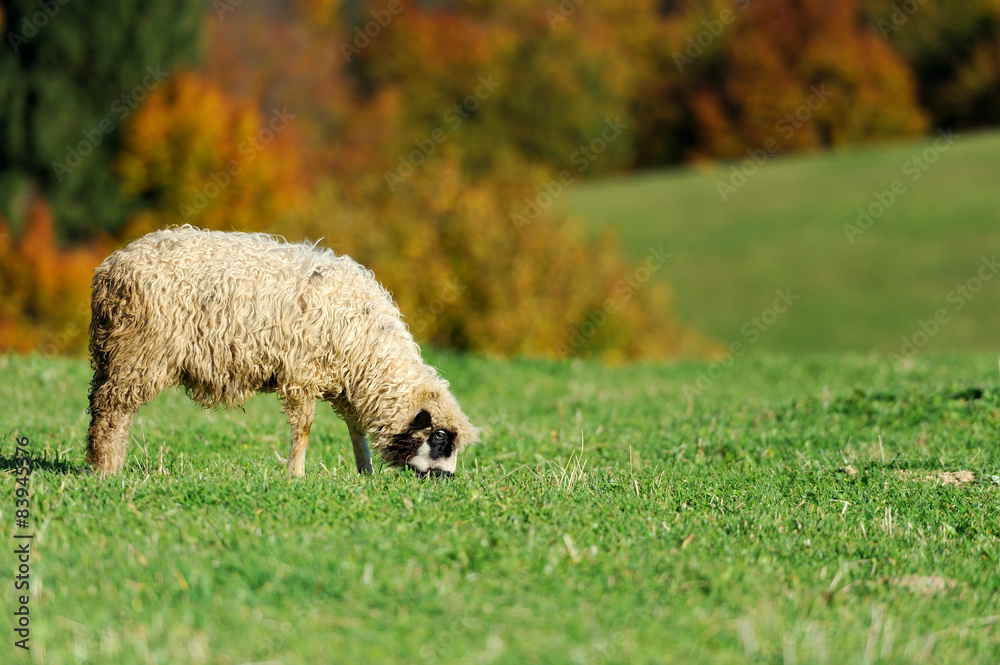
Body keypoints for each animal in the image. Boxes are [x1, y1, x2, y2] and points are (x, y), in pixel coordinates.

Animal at [83, 227, 480, 478]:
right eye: (440, 438)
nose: (447, 479)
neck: (370, 349)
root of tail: (111, 266)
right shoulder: (301, 373)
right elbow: (304, 429)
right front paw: (296, 475)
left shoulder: (345, 383)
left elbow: (356, 430)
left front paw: (365, 472)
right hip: (138, 352)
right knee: (112, 411)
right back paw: (106, 469)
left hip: (118, 355)